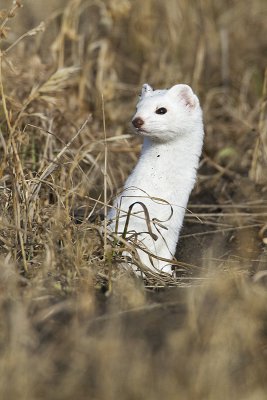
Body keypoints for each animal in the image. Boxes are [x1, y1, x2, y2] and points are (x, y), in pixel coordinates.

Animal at [108, 83, 204, 274]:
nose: (137, 120)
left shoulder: (173, 230)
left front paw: (166, 273)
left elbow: (165, 257)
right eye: (137, 107)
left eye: (161, 110)